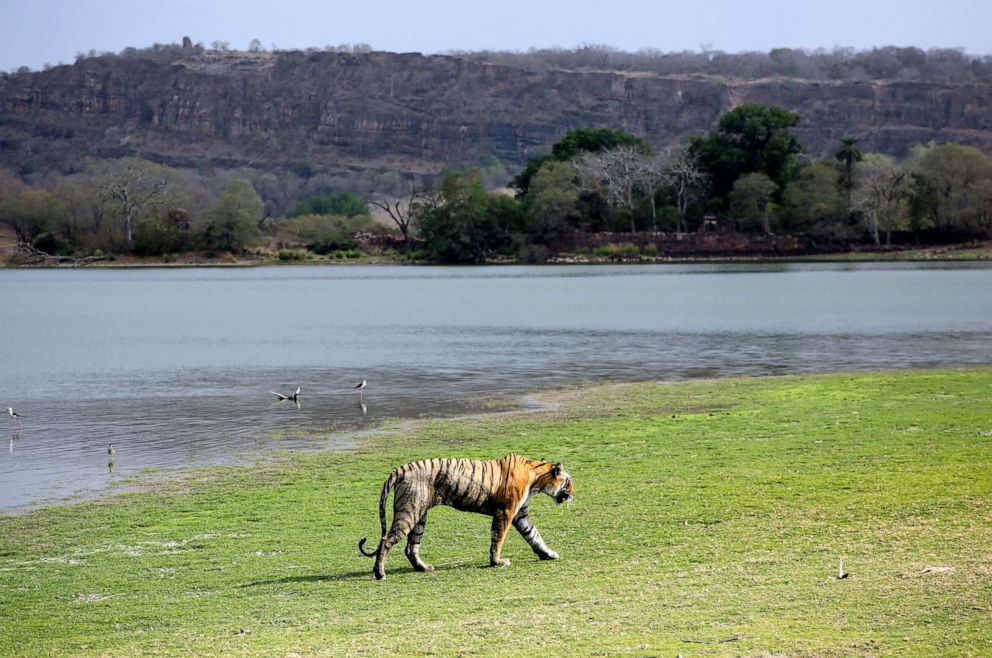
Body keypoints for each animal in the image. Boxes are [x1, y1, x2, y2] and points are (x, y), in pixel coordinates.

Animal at [356, 454, 572, 576]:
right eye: (569, 482)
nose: (573, 495)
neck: (537, 480)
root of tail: (402, 468)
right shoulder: (506, 512)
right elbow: (498, 539)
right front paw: (497, 562)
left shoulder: (520, 515)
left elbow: (534, 535)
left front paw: (549, 554)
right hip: (409, 512)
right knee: (386, 540)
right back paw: (380, 573)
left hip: (419, 516)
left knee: (411, 547)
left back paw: (423, 568)